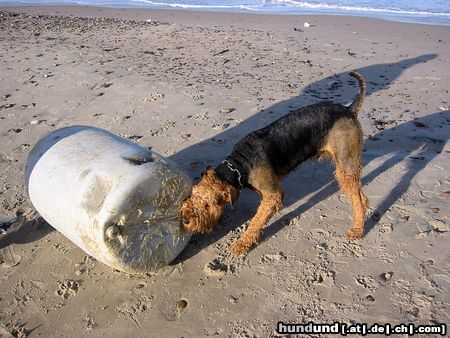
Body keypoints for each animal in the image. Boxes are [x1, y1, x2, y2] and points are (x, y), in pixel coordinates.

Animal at [180, 72, 370, 256]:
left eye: (209, 204)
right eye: (193, 194)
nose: (185, 219)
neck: (240, 166)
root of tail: (348, 110)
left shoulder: (273, 194)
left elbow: (256, 221)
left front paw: (241, 245)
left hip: (345, 162)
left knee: (356, 196)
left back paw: (357, 229)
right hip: (346, 167)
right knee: (358, 194)